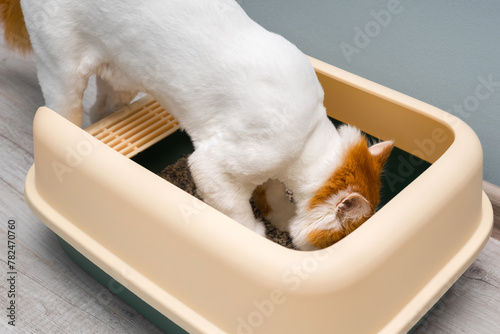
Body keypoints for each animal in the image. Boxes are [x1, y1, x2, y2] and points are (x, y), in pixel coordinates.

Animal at [2, 0, 394, 250]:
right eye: (336, 239)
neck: (310, 135)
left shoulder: (269, 170)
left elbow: (271, 195)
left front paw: (280, 216)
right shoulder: (214, 166)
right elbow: (238, 211)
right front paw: (258, 233)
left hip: (120, 80)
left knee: (100, 109)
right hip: (63, 72)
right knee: (63, 111)